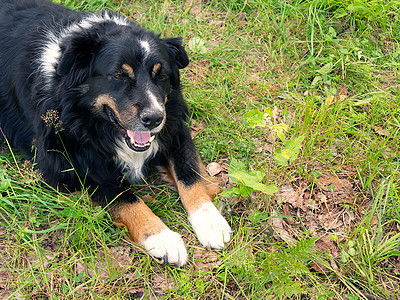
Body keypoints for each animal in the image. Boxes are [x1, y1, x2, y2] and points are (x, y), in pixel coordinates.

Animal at [0, 0, 231, 268]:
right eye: (119, 75)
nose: (154, 119)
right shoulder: (64, 165)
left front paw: (211, 223)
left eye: (161, 75)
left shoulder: (173, 126)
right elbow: (124, 197)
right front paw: (163, 238)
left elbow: (190, 173)